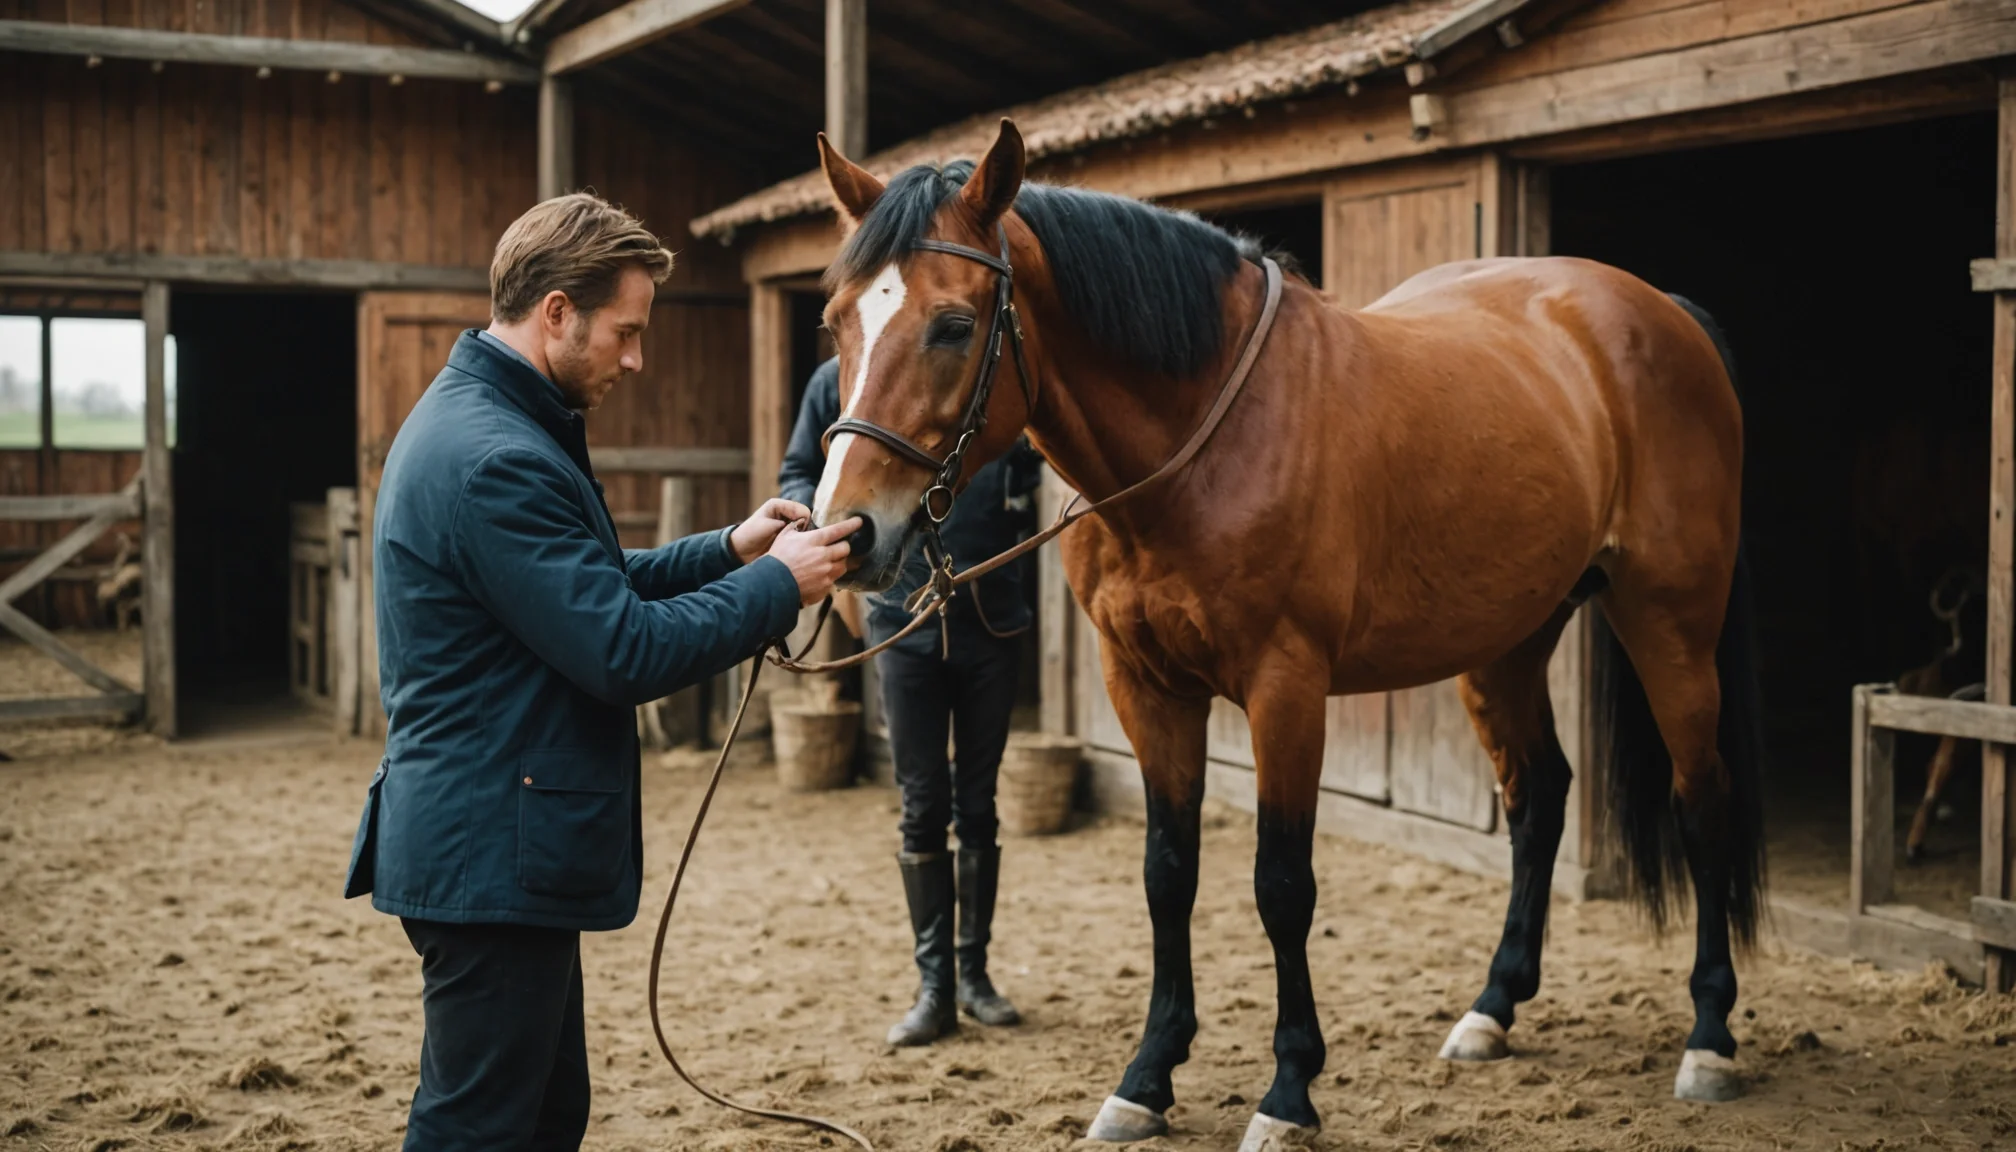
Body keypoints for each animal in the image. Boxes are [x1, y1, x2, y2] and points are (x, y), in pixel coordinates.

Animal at [805, 118, 1766, 1150]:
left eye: (952, 325)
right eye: (837, 322)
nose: (850, 532)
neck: (1205, 439)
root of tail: (1659, 312)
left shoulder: (1286, 689)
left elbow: (1281, 884)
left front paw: (1289, 1092)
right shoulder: (1144, 687)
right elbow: (1167, 874)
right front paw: (1147, 1078)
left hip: (1669, 624)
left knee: (1701, 802)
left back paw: (1710, 1039)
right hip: (1506, 642)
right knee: (1538, 797)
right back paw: (1492, 1010)